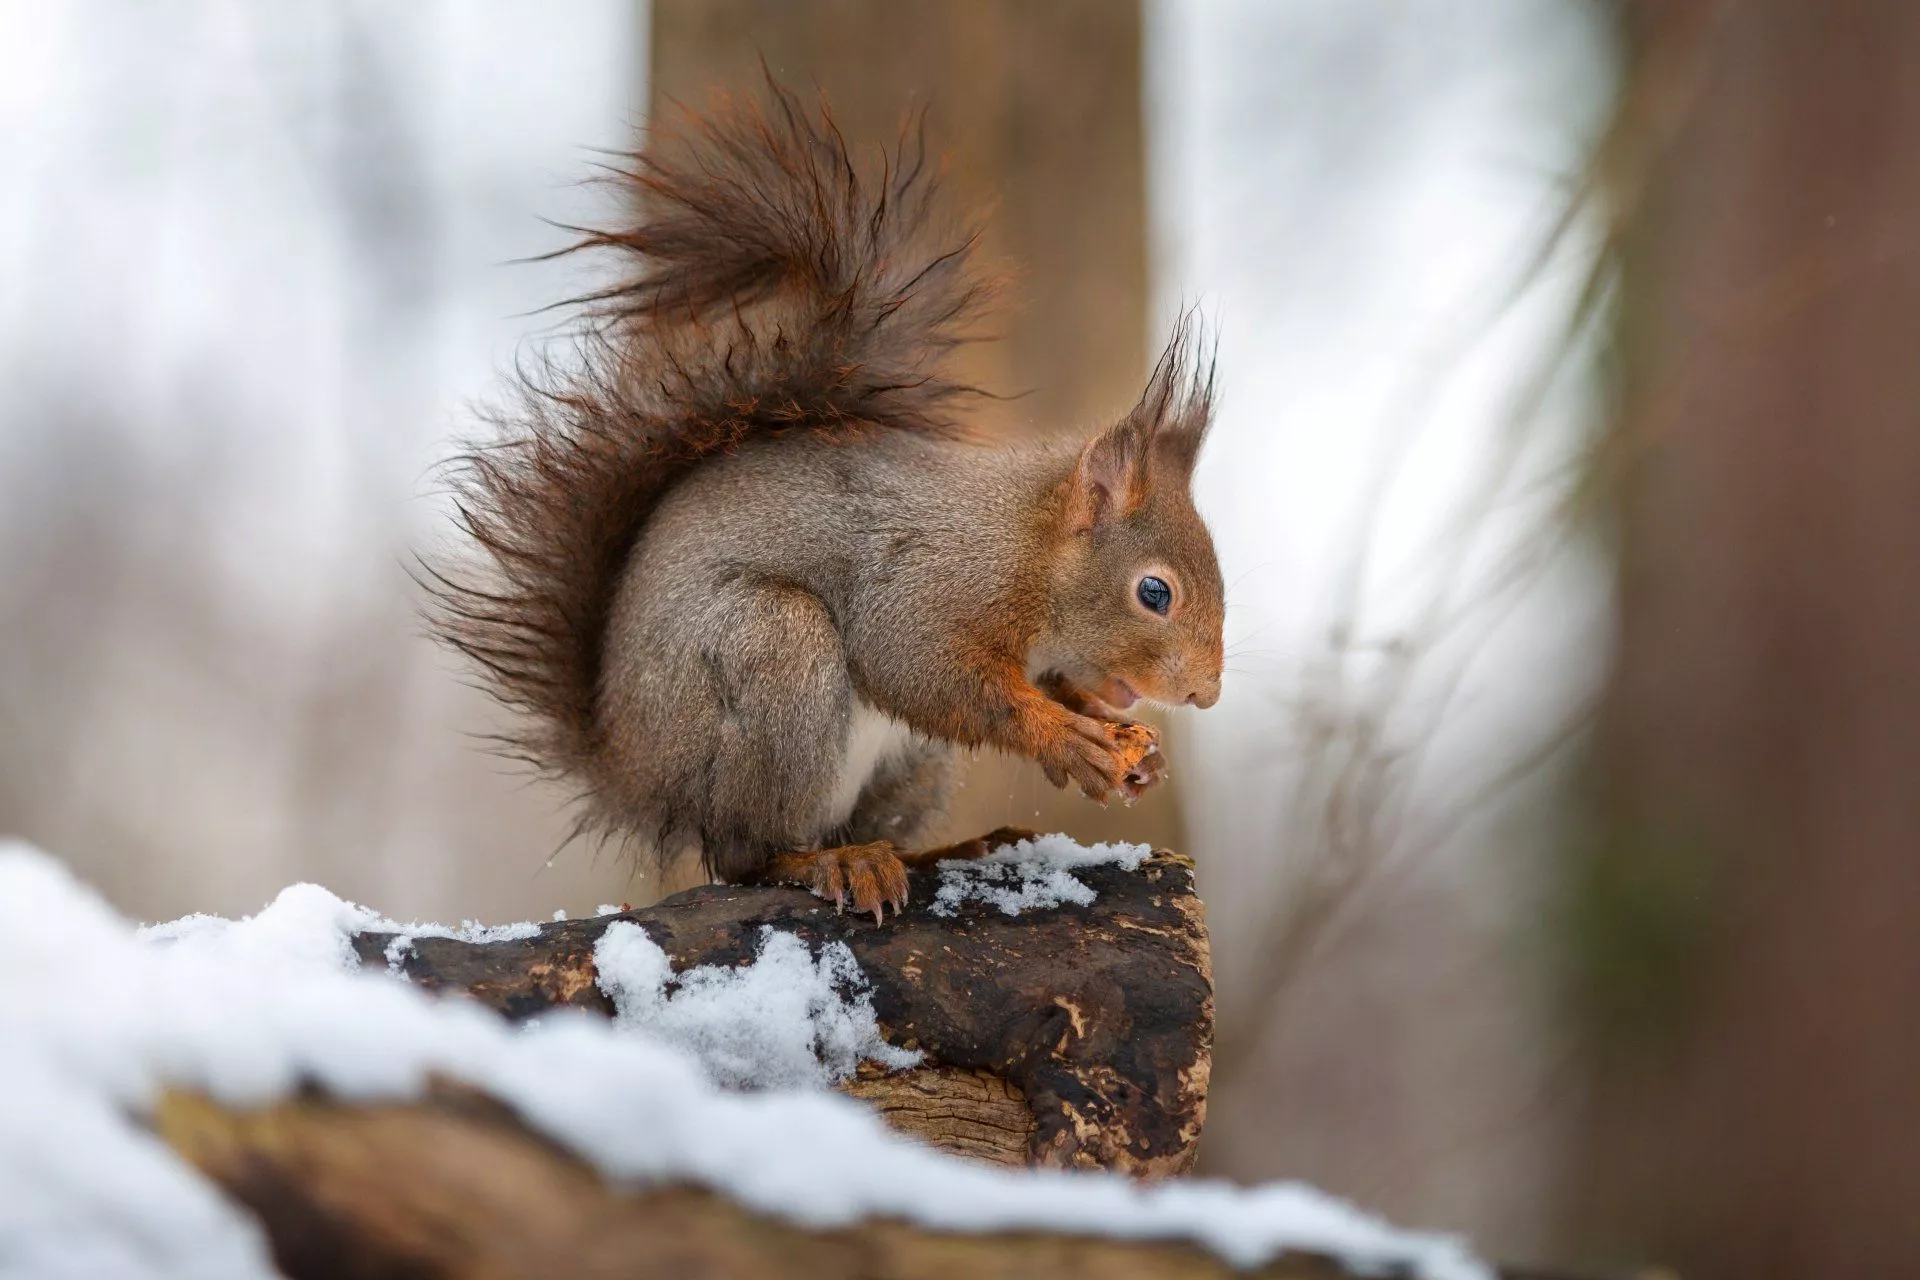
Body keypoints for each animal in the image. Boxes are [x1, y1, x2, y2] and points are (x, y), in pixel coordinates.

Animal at [427, 82, 1224, 924]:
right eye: (1154, 593)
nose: (1205, 694)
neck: (1028, 545)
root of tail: (633, 773)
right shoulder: (930, 585)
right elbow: (928, 674)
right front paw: (1066, 739)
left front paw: (1126, 742)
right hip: (776, 656)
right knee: (745, 855)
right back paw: (829, 863)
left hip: (913, 765)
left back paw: (945, 847)